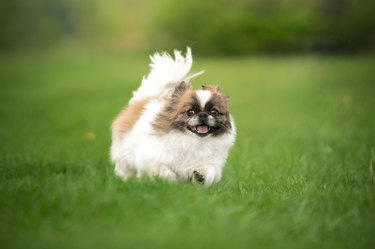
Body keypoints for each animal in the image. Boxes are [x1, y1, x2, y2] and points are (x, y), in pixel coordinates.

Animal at [110, 48, 236, 185]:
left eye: (214, 112)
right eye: (190, 112)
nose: (203, 114)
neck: (192, 141)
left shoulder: (212, 164)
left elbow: (207, 170)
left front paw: (199, 175)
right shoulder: (150, 160)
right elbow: (163, 170)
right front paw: (170, 180)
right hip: (124, 156)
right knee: (124, 168)